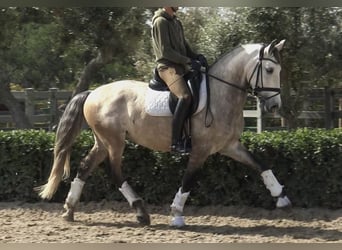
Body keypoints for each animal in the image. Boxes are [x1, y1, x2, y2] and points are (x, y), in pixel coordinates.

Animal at [35, 38, 292, 227]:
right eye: (270, 69)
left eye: (280, 70)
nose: (274, 106)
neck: (221, 94)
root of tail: (93, 93)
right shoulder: (200, 150)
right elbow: (188, 180)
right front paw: (176, 214)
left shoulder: (230, 145)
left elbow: (261, 164)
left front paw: (282, 197)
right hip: (114, 141)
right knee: (114, 171)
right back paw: (140, 212)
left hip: (102, 141)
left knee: (85, 167)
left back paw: (70, 209)